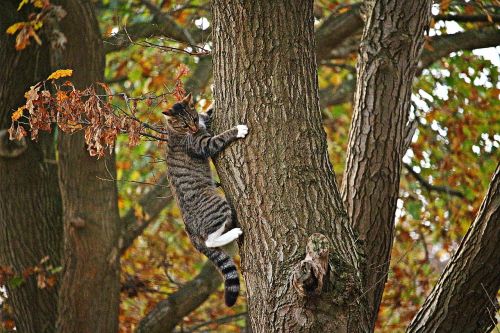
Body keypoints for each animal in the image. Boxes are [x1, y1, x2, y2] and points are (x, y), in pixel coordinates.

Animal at [162, 92, 248, 304]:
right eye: (184, 126)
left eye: (193, 119)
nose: (194, 128)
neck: (175, 132)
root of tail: (191, 233)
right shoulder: (202, 144)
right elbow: (219, 138)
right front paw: (237, 129)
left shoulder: (203, 119)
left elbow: (209, 111)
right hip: (218, 205)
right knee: (210, 240)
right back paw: (233, 233)